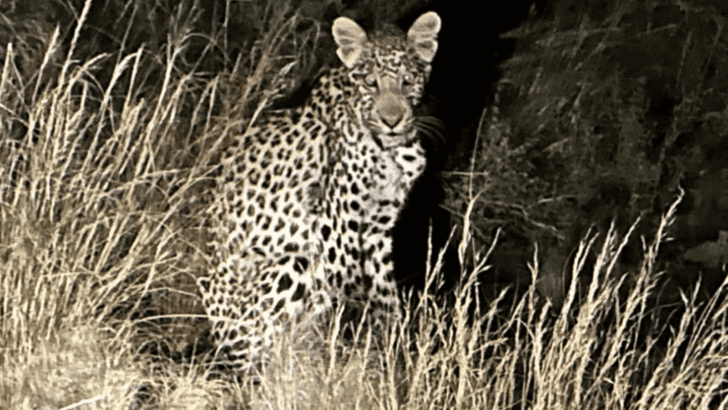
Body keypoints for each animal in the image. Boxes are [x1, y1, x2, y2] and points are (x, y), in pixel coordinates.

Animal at [197, 11, 442, 371]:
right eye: (371, 83)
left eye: (408, 81)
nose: (392, 120)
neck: (392, 149)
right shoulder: (338, 230)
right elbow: (347, 295)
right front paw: (347, 360)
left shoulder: (376, 231)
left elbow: (384, 297)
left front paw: (392, 355)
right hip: (293, 263)